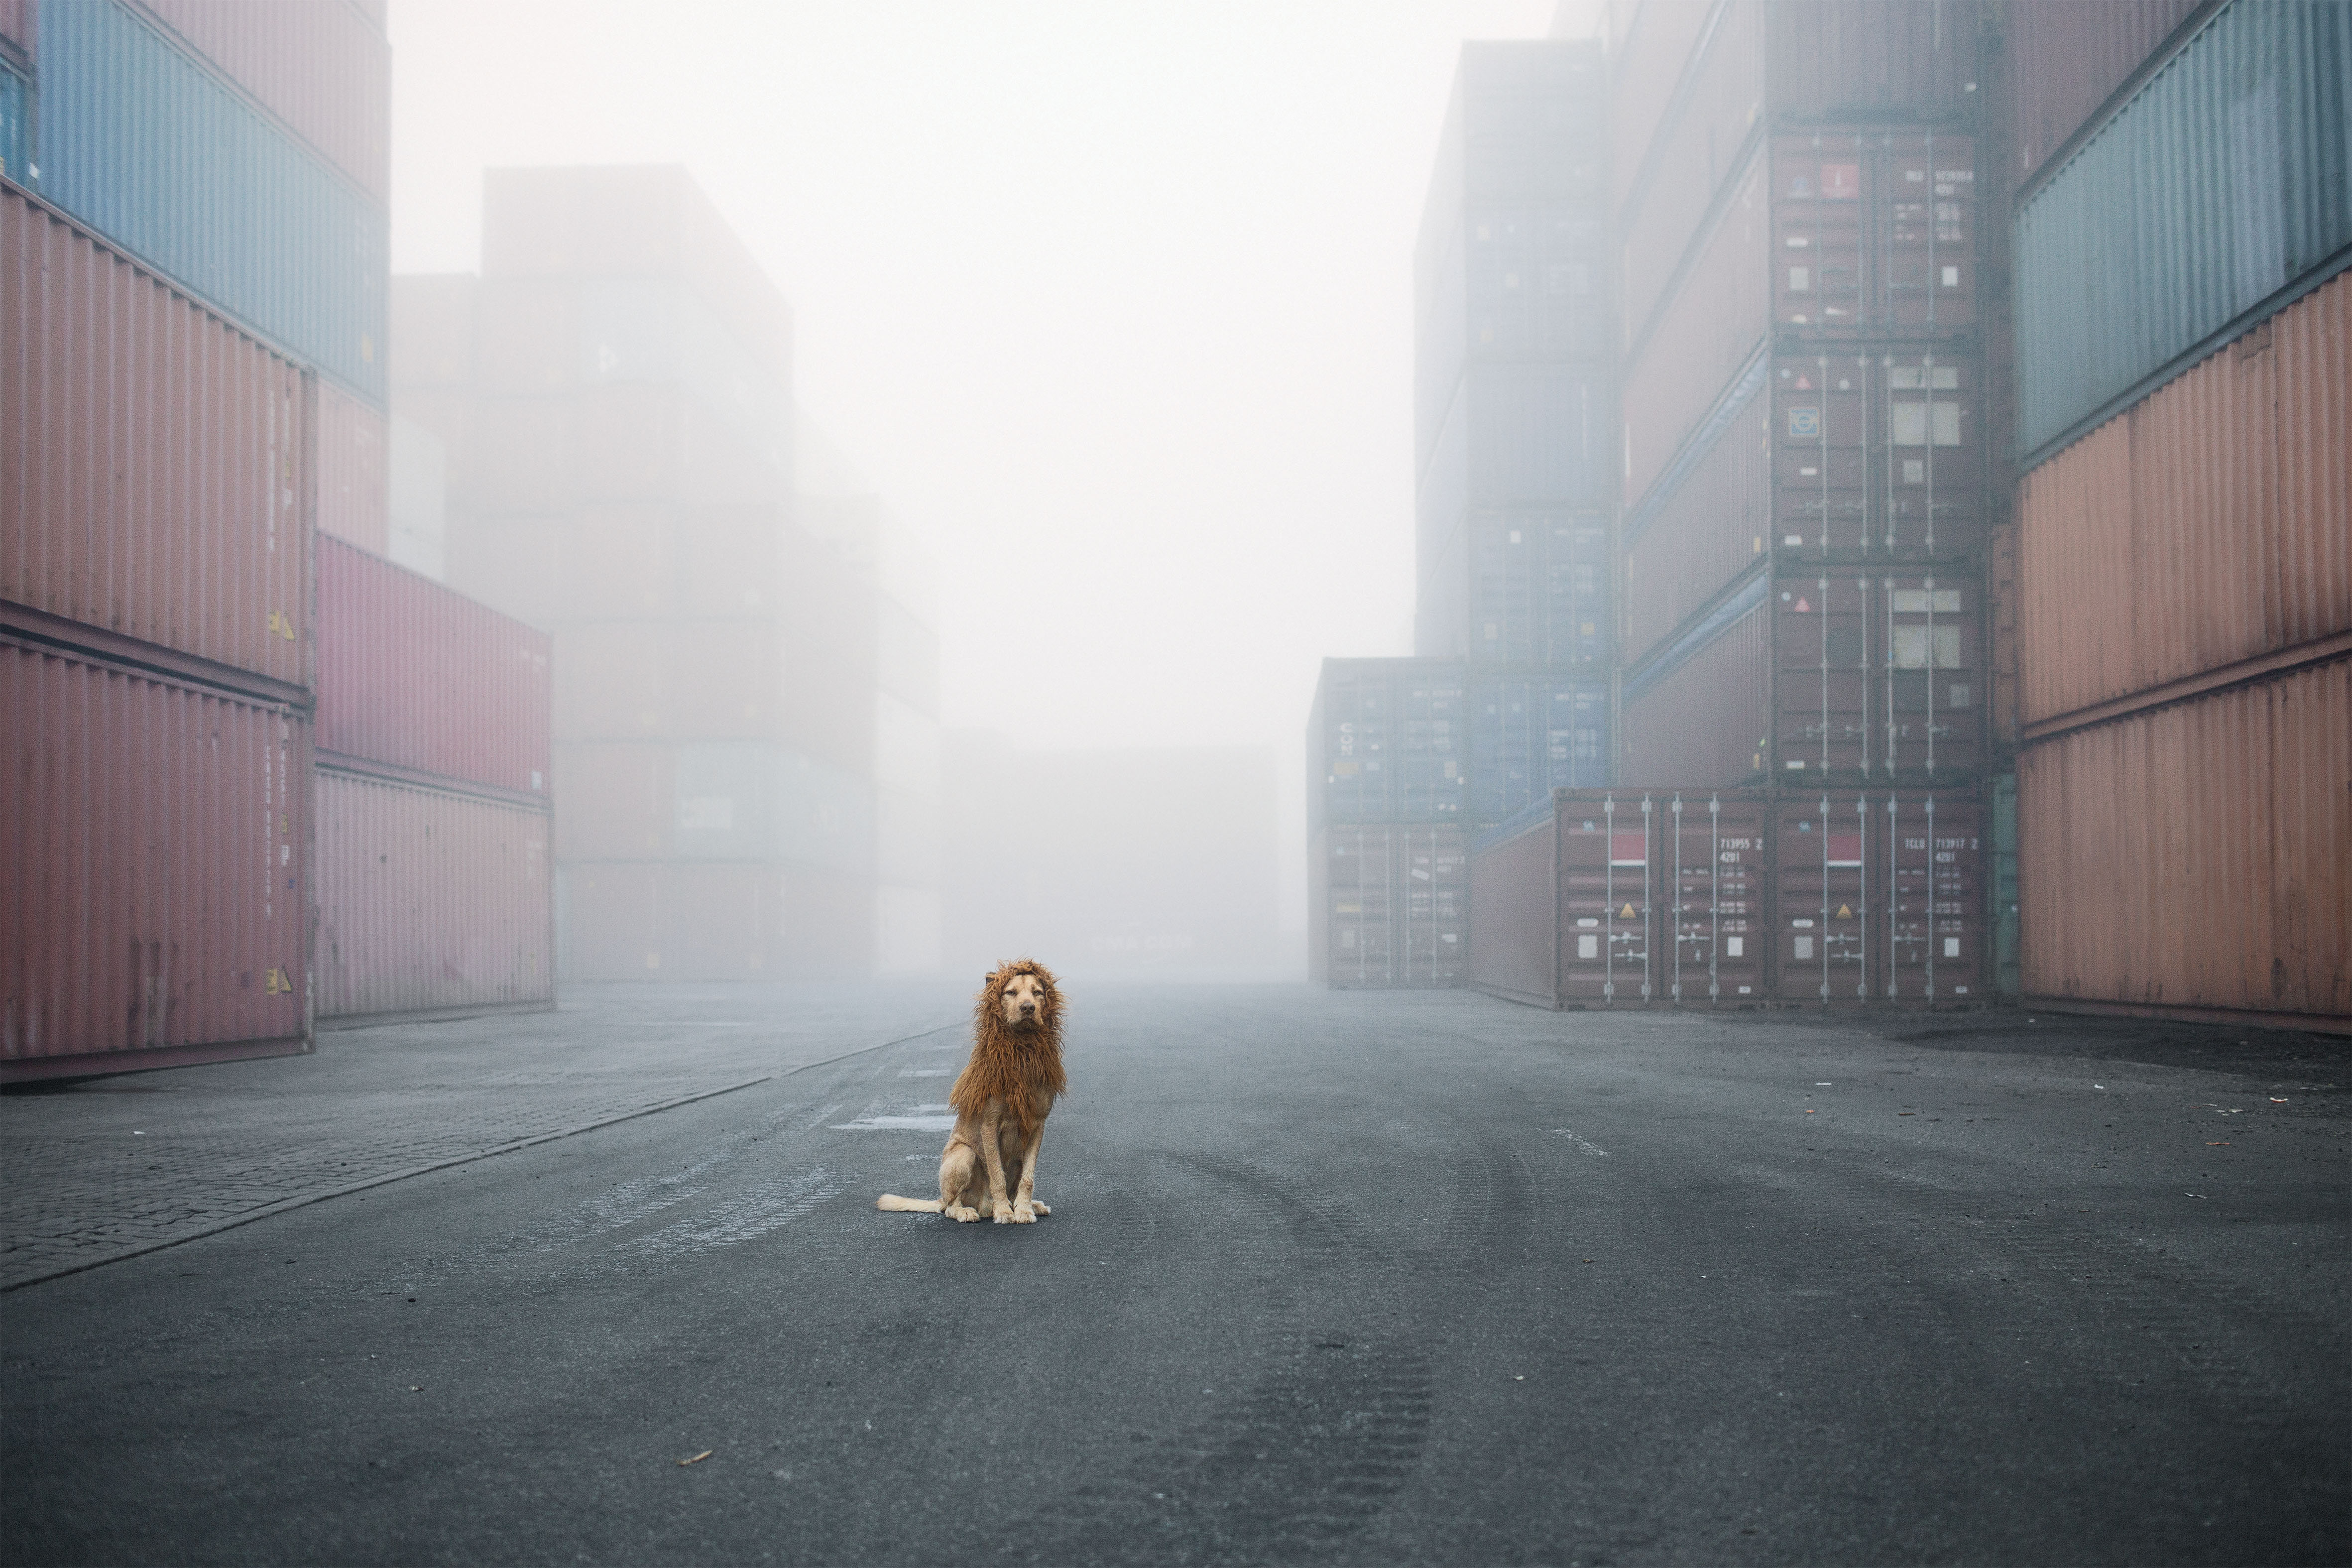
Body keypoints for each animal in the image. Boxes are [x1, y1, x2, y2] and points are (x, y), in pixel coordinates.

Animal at [877, 959, 1067, 1224]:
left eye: (1038, 992)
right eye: (1011, 993)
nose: (1028, 1008)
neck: (1021, 1051)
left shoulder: (1036, 1124)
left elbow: (1028, 1177)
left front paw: (1024, 1209)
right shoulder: (989, 1125)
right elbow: (996, 1175)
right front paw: (1005, 1212)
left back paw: (1028, 1205)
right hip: (963, 1155)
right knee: (950, 1206)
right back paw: (971, 1211)